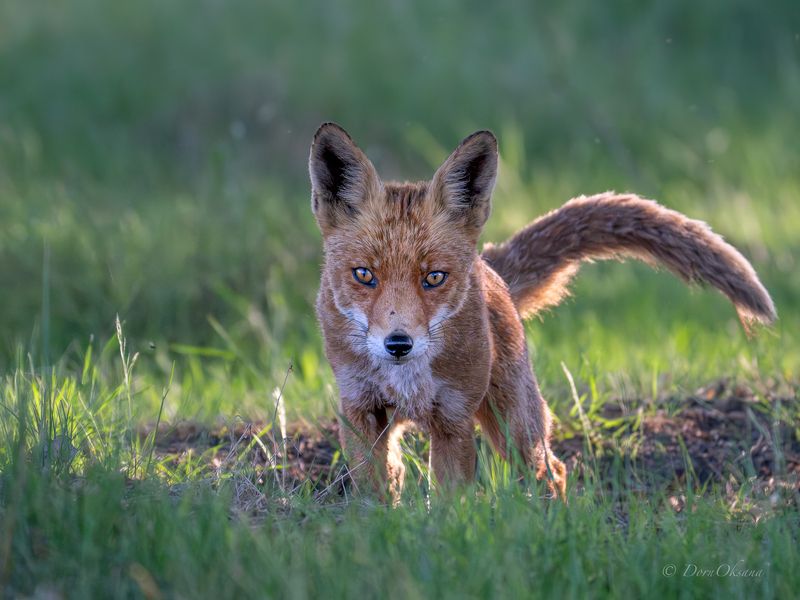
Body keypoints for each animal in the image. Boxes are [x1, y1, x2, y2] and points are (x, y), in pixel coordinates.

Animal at [308, 122, 776, 502]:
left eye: (435, 278)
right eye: (365, 275)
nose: (398, 344)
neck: (405, 379)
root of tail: (490, 266)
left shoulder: (453, 420)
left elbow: (449, 505)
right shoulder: (360, 410)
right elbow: (375, 495)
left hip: (513, 424)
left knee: (553, 471)